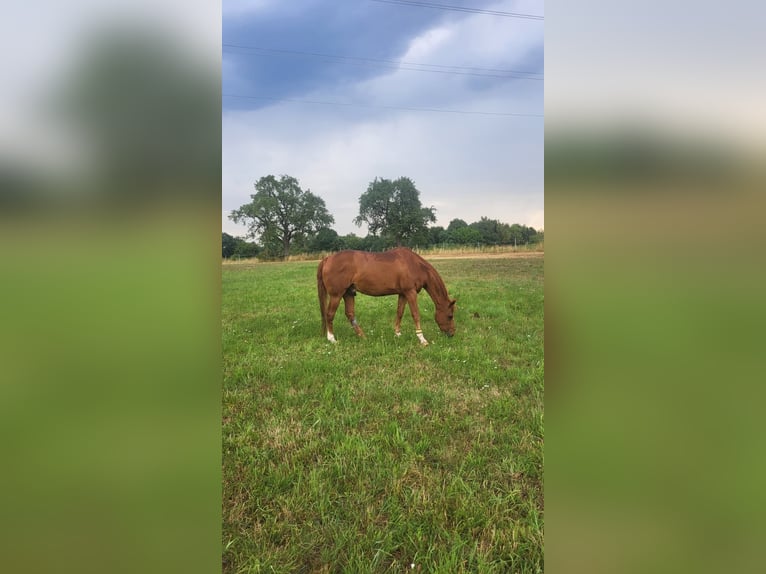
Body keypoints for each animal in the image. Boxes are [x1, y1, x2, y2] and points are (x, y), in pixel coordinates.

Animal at [316, 247, 456, 345]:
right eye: (450, 316)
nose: (452, 334)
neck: (415, 265)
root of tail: (327, 259)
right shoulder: (410, 292)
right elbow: (415, 314)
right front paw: (422, 339)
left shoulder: (403, 293)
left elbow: (400, 312)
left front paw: (398, 334)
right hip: (336, 295)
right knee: (329, 315)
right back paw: (332, 339)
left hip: (349, 293)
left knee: (350, 314)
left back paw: (363, 337)